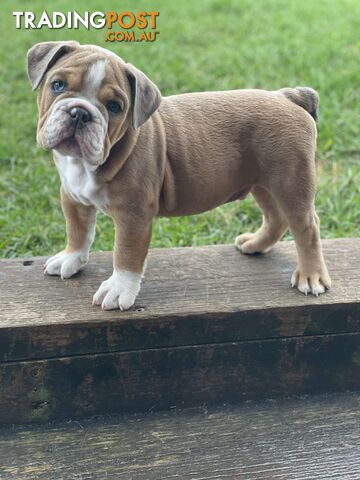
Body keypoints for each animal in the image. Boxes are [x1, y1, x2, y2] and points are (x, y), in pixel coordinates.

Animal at [27, 41, 332, 312]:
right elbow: (77, 231)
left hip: (291, 181)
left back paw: (311, 276)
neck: (84, 164)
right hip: (262, 182)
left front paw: (119, 289)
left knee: (307, 226)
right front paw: (70, 259)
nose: (79, 113)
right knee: (276, 217)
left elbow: (126, 253)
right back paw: (255, 245)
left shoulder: (133, 215)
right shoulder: (72, 198)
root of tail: (288, 96)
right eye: (58, 85)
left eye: (114, 107)